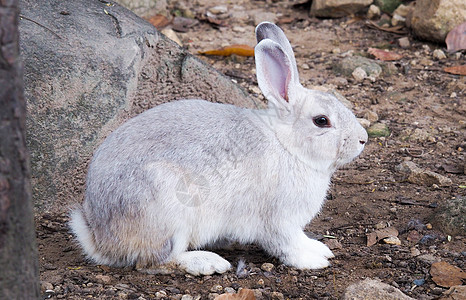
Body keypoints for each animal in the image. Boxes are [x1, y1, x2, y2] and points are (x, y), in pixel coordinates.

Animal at [69, 22, 368, 276]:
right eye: (322, 121)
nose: (363, 139)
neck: (287, 143)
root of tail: (98, 237)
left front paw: (320, 249)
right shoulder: (279, 220)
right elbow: (286, 244)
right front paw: (312, 261)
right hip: (167, 211)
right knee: (154, 262)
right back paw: (207, 262)